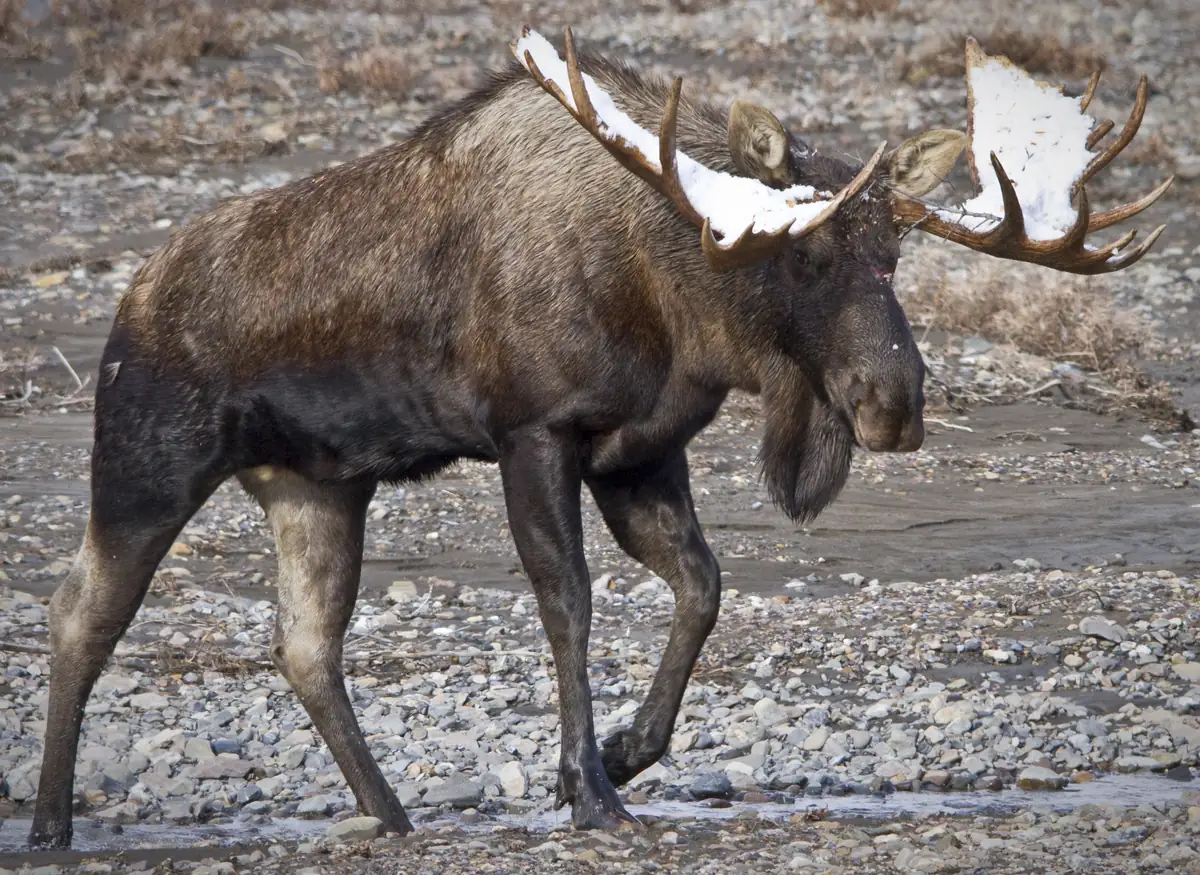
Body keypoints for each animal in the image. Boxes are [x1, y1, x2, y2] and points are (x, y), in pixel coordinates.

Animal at [28, 25, 1171, 847]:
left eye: (895, 251)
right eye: (804, 254)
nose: (896, 400)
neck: (677, 302)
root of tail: (130, 294)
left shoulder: (643, 451)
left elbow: (704, 588)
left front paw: (624, 754)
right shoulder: (535, 431)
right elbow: (568, 602)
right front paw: (586, 788)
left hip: (317, 485)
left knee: (306, 644)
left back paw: (393, 817)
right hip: (146, 460)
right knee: (81, 611)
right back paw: (49, 822)